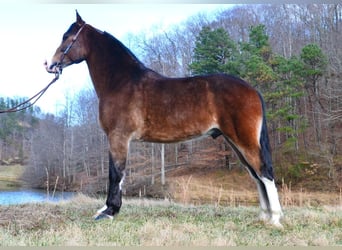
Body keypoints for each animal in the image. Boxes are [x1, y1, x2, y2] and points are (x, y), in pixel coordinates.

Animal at [45, 11, 284, 227]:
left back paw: (274, 219)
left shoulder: (118, 137)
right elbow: (117, 173)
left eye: (67, 37)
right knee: (256, 175)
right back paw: (264, 216)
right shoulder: (117, 139)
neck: (121, 81)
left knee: (264, 173)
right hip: (235, 142)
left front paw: (109, 211)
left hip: (244, 141)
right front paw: (107, 209)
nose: (50, 64)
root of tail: (252, 90)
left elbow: (115, 174)